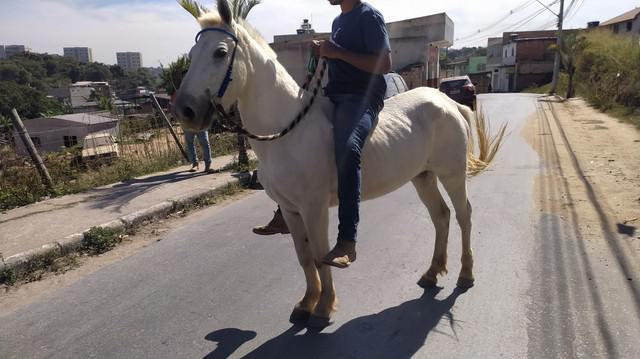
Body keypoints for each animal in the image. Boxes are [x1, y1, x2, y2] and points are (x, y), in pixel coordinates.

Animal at [174, 0, 480, 326]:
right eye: (191, 54)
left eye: (220, 53)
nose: (184, 110)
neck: (287, 132)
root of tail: (449, 103)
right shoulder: (290, 209)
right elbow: (305, 257)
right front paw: (307, 302)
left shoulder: (314, 208)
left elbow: (322, 255)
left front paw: (324, 307)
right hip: (423, 176)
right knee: (441, 216)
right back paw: (432, 273)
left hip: (452, 174)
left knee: (463, 215)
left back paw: (465, 273)